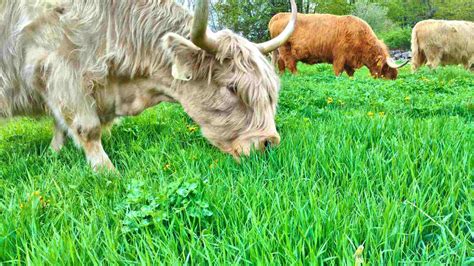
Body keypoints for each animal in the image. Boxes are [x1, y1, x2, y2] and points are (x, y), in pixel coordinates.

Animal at [0, 0, 296, 170]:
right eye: (232, 89)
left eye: (271, 94)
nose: (269, 144)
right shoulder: (60, 69)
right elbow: (87, 129)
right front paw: (108, 174)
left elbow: (61, 124)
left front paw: (54, 153)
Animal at [268, 12, 410, 79]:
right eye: (387, 68)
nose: (394, 78)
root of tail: (279, 15)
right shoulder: (339, 58)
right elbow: (338, 72)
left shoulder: (349, 61)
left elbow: (351, 74)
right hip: (286, 49)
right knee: (290, 64)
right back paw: (297, 76)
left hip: (279, 50)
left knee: (280, 63)